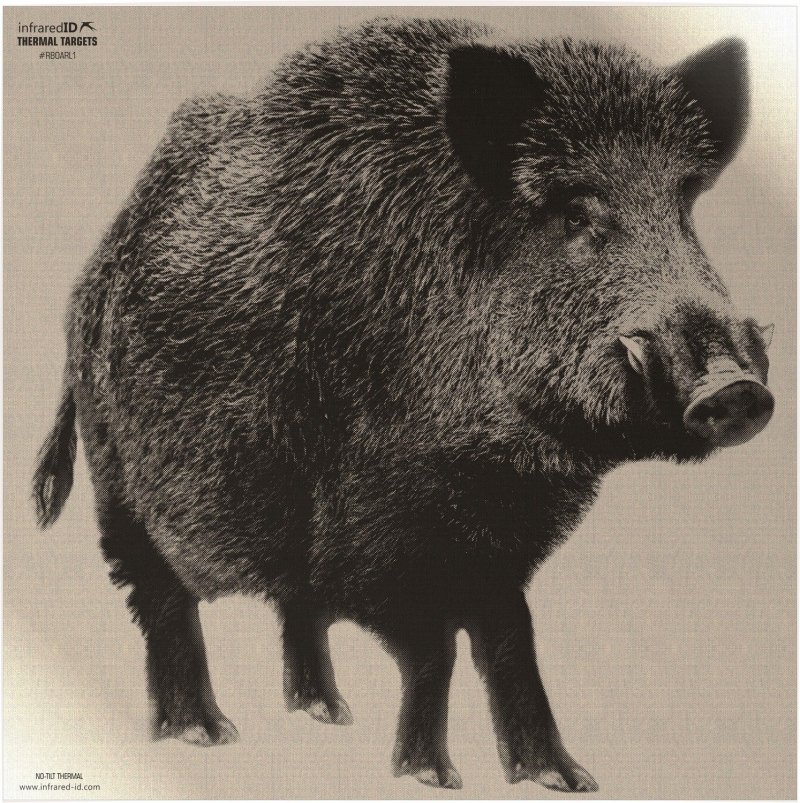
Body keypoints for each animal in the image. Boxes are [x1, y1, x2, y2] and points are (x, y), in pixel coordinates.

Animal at [33, 17, 774, 792]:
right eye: (575, 212)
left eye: (684, 206)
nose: (733, 387)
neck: (496, 461)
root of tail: (90, 277)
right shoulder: (382, 527)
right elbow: (435, 648)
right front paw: (431, 777)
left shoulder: (499, 538)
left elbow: (509, 637)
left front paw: (563, 780)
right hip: (119, 476)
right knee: (160, 598)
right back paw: (204, 734)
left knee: (293, 606)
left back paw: (327, 713)